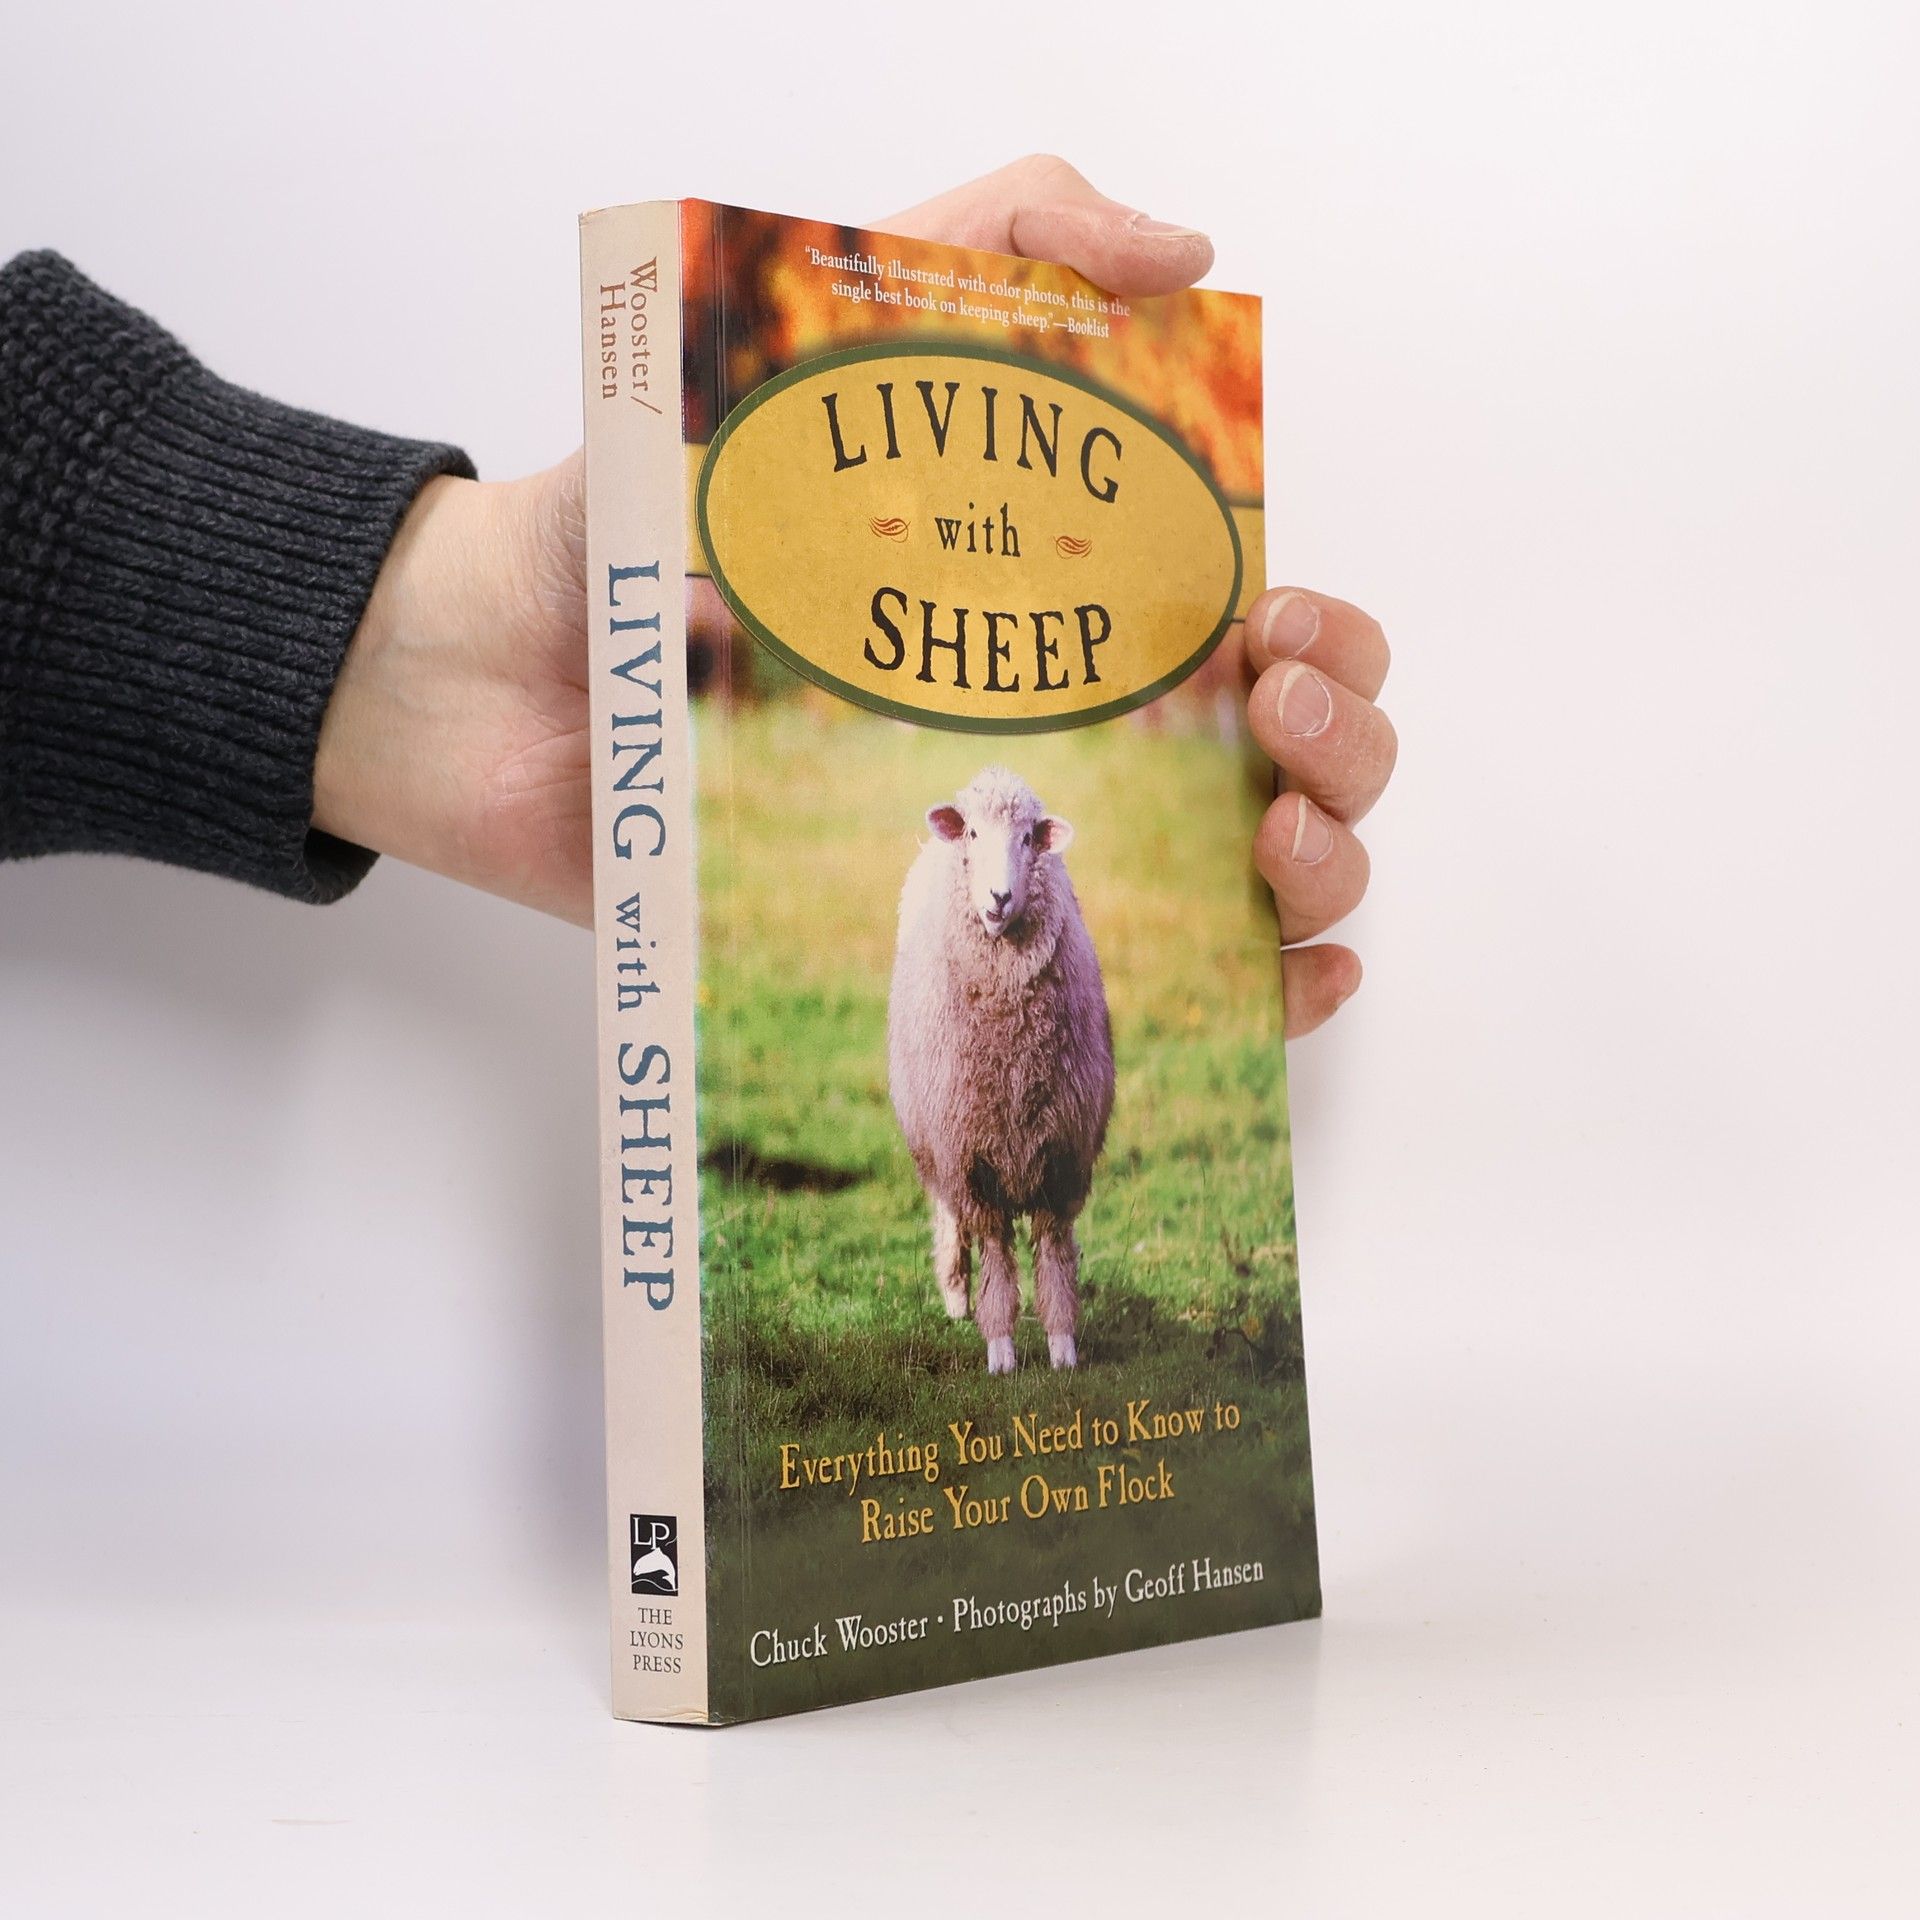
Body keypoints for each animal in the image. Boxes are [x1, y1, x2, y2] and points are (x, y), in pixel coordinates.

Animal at [887, 766, 1115, 1374]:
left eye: (1029, 839)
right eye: (971, 834)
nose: (999, 897)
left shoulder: (1063, 1156)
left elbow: (1055, 1257)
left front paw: (1062, 1346)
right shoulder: (972, 1161)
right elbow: (994, 1255)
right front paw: (1001, 1350)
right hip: (933, 1141)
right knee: (948, 1218)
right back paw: (956, 1295)